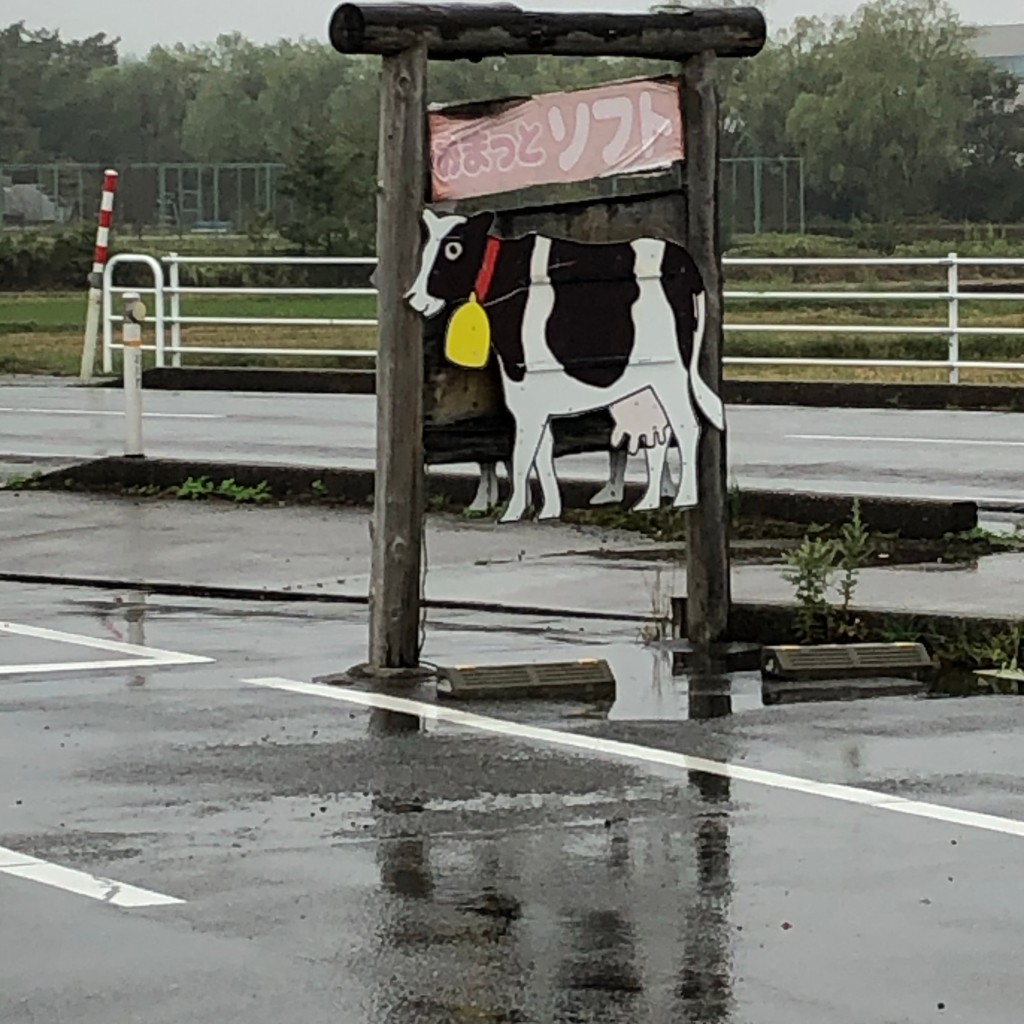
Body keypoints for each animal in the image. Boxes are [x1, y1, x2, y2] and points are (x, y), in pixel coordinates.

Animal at [403, 210, 724, 524]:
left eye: (453, 249)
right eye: (427, 247)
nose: (414, 298)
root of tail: (686, 264)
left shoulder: (527, 393)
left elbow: (523, 454)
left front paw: (513, 512)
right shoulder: (530, 394)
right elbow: (542, 452)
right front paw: (548, 510)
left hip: (671, 376)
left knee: (687, 425)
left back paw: (684, 498)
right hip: (646, 389)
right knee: (657, 438)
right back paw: (647, 503)